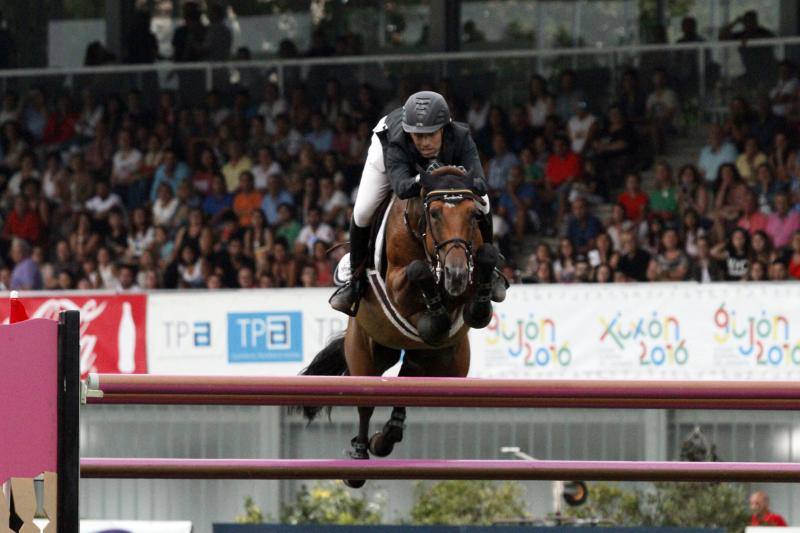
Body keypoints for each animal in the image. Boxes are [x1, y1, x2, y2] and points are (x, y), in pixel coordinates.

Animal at [300, 165, 500, 486]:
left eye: (473, 214)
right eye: (435, 214)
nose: (456, 274)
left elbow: (485, 259)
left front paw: (476, 305)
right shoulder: (397, 285)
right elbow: (419, 271)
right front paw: (435, 314)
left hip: (446, 368)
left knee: (408, 384)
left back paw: (385, 438)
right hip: (364, 352)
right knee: (366, 402)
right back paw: (360, 456)